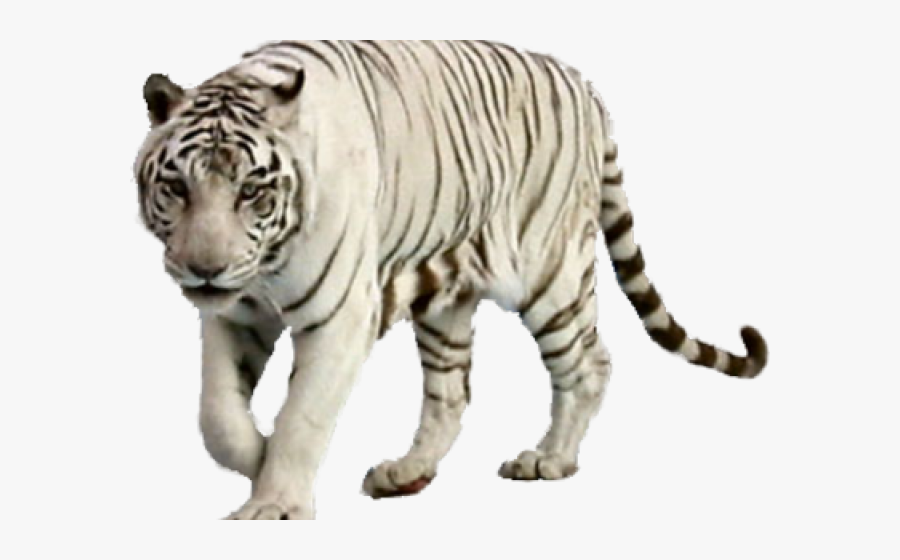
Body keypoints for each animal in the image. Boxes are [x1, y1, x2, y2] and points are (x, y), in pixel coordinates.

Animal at [135, 40, 769, 520]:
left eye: (251, 192)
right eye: (177, 188)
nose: (205, 269)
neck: (265, 266)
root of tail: (582, 82)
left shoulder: (340, 317)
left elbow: (301, 414)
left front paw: (275, 506)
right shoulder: (235, 314)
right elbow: (217, 417)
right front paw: (257, 458)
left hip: (550, 277)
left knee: (591, 363)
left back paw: (550, 460)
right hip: (447, 303)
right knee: (452, 393)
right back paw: (407, 473)